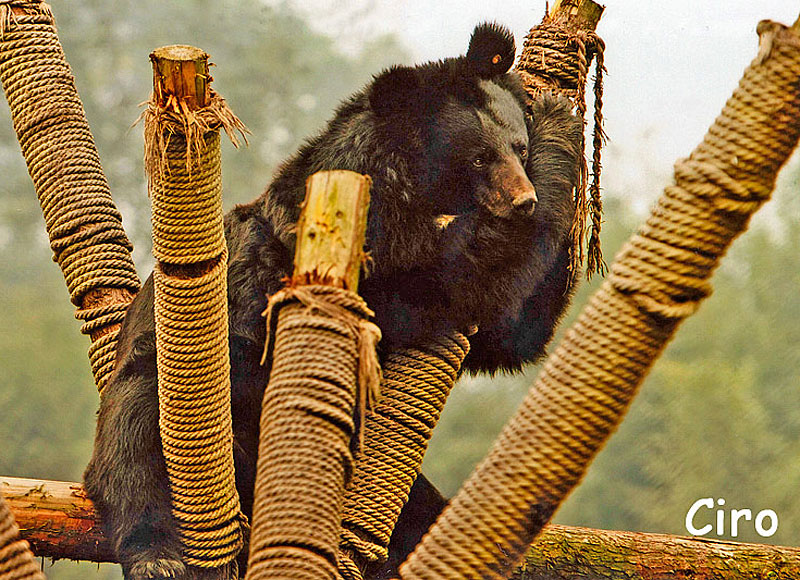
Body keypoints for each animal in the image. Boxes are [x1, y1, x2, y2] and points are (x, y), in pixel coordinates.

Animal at [86, 22, 580, 580]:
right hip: (177, 387)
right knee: (132, 446)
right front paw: (560, 122)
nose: (523, 202)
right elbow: (468, 274)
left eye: (517, 147)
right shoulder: (375, 246)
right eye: (479, 157)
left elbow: (509, 336)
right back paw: (158, 557)